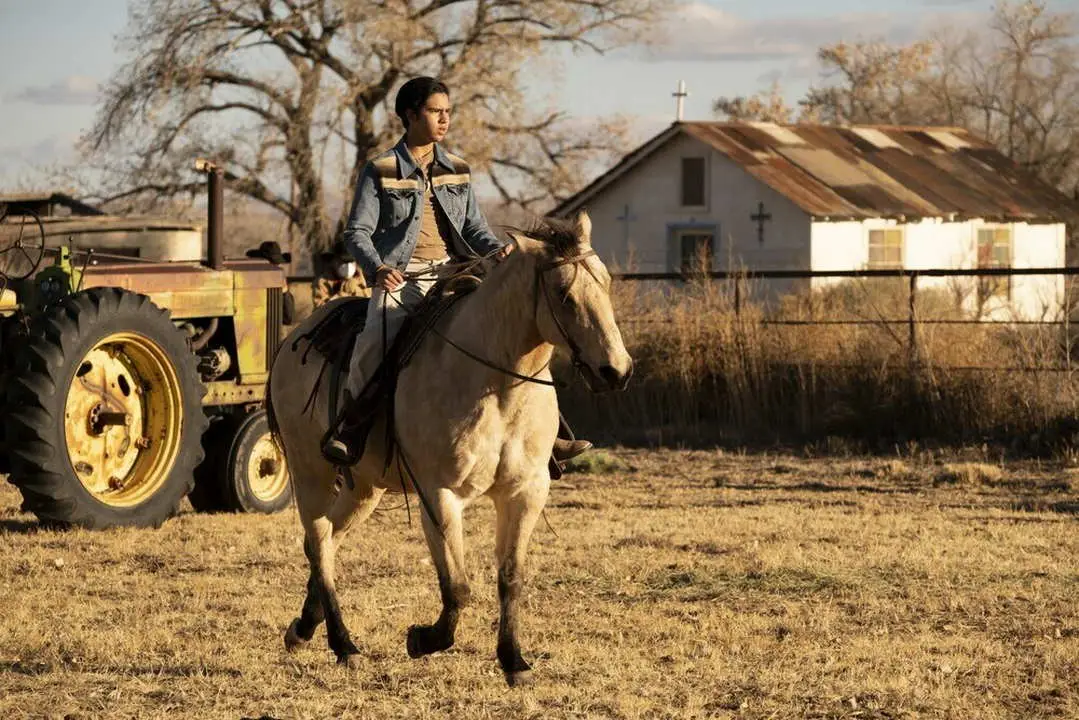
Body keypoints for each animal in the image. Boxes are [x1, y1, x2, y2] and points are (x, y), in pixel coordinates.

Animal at [266, 212, 630, 686]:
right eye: (564, 296)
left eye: (605, 283)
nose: (616, 371)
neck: (496, 386)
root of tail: (297, 338)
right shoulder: (439, 496)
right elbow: (457, 586)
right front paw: (423, 639)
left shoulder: (526, 492)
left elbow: (511, 577)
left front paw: (514, 661)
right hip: (310, 471)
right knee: (319, 539)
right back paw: (343, 644)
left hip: (364, 487)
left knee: (325, 539)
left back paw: (305, 629)